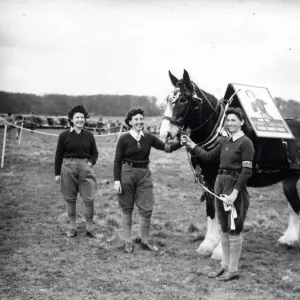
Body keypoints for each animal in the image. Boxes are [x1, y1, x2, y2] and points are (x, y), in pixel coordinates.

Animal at [161, 70, 300, 260]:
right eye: (169, 98)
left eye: (183, 99)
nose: (165, 134)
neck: (220, 135)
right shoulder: (207, 181)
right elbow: (211, 210)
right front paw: (208, 244)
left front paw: (220, 250)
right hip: (289, 180)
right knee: (294, 204)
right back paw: (289, 239)